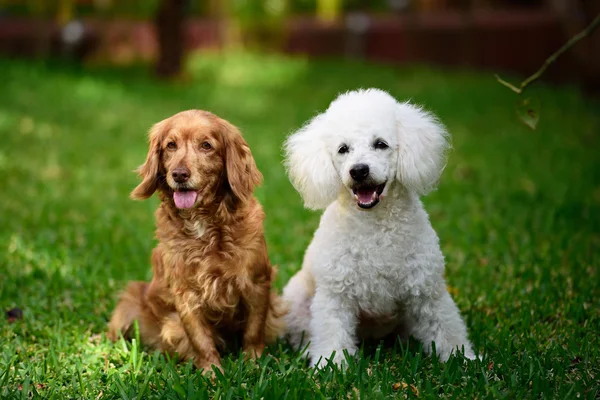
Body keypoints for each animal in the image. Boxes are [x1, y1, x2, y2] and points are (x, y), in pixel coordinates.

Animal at [108, 108, 286, 372]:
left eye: (206, 145)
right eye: (171, 145)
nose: (179, 174)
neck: (204, 225)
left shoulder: (257, 282)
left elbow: (254, 331)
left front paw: (254, 365)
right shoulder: (185, 294)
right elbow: (200, 339)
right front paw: (212, 372)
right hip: (128, 303)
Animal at [284, 89, 476, 368]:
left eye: (380, 144)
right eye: (343, 149)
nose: (358, 171)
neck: (374, 225)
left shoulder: (426, 288)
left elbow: (445, 325)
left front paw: (463, 359)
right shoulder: (335, 294)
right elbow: (332, 333)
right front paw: (330, 365)